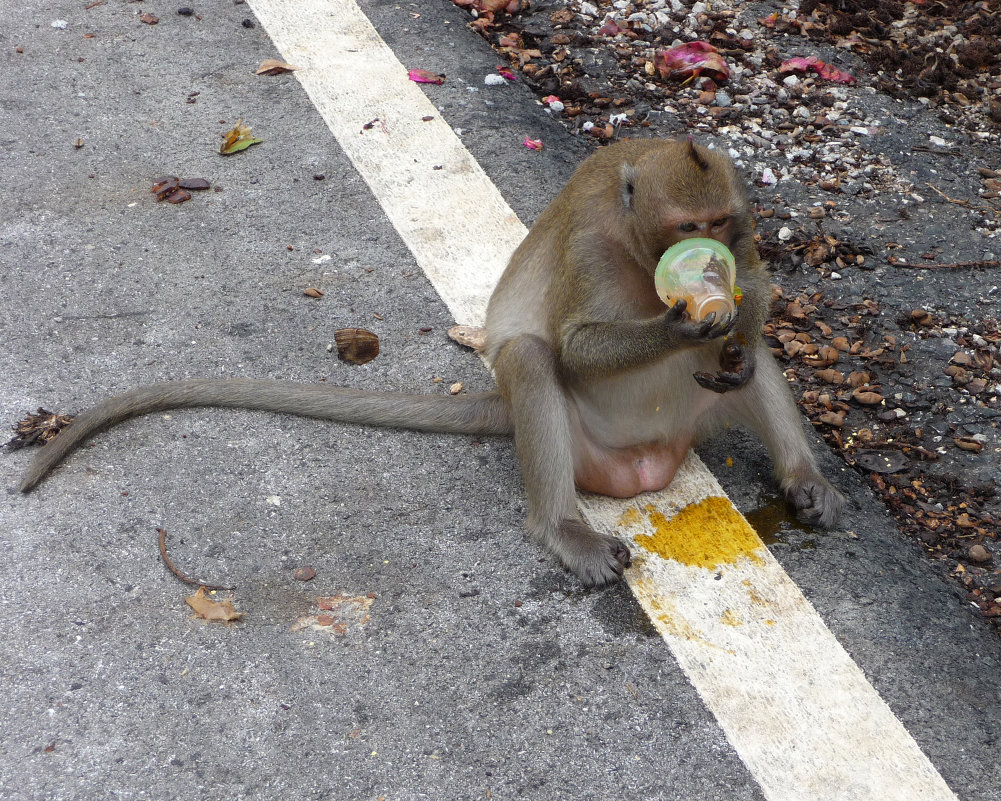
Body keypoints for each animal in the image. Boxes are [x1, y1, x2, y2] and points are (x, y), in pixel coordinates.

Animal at [19, 139, 840, 588]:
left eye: (722, 223)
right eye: (685, 227)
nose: (710, 253)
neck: (641, 252)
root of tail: (650, 465)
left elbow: (757, 298)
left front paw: (735, 331)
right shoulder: (590, 239)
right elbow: (574, 345)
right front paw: (682, 319)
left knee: (757, 369)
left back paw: (803, 477)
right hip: (580, 445)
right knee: (532, 359)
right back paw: (563, 530)